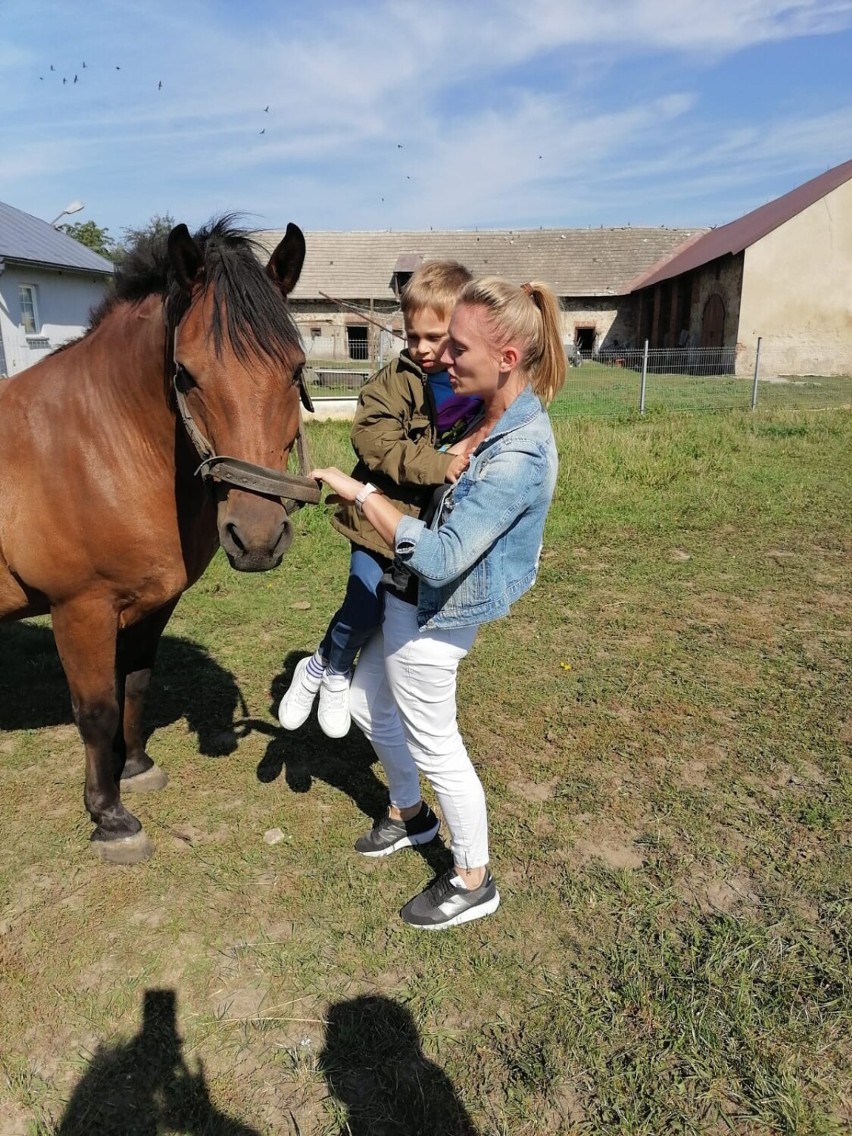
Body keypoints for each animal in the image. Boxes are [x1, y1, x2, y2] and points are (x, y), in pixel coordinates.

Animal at [0, 216, 318, 863]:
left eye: (296, 369)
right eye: (185, 374)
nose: (256, 539)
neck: (102, 445)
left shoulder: (152, 602)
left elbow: (136, 685)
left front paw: (136, 769)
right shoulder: (81, 610)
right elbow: (96, 710)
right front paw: (111, 817)